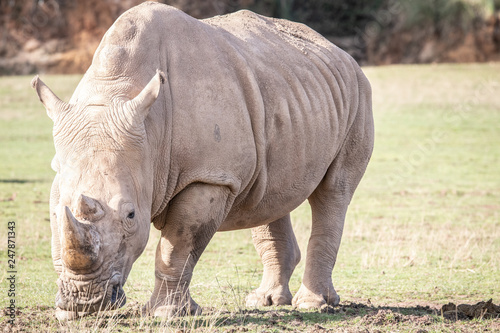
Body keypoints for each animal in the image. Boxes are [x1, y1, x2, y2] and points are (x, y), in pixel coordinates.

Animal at [32, 1, 372, 320]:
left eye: (131, 215)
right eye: (55, 214)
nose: (85, 301)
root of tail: (339, 51)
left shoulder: (210, 176)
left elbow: (177, 246)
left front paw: (167, 313)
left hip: (358, 93)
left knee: (334, 191)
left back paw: (314, 304)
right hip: (289, 92)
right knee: (269, 194)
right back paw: (265, 301)